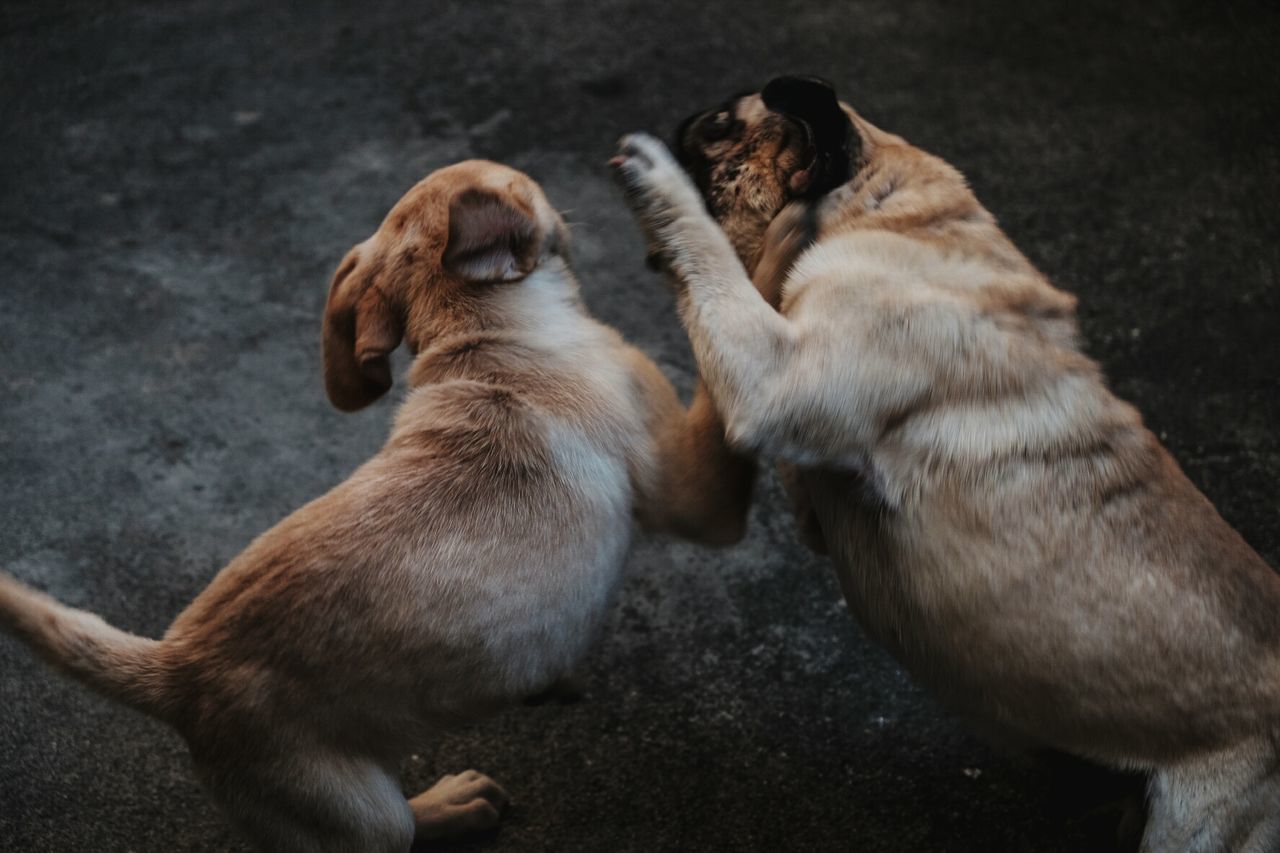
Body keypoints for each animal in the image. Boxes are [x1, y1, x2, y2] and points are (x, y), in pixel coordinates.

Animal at [0, 159, 752, 850]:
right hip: (355, 812)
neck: (490, 337)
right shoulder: (701, 498)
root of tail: (175, 670)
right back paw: (449, 805)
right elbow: (726, 388)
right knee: (401, 830)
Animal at [609, 76, 1280, 845]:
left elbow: (712, 263)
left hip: (1198, 823)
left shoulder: (775, 371)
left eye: (719, 129)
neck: (880, 208)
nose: (683, 125)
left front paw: (657, 177)